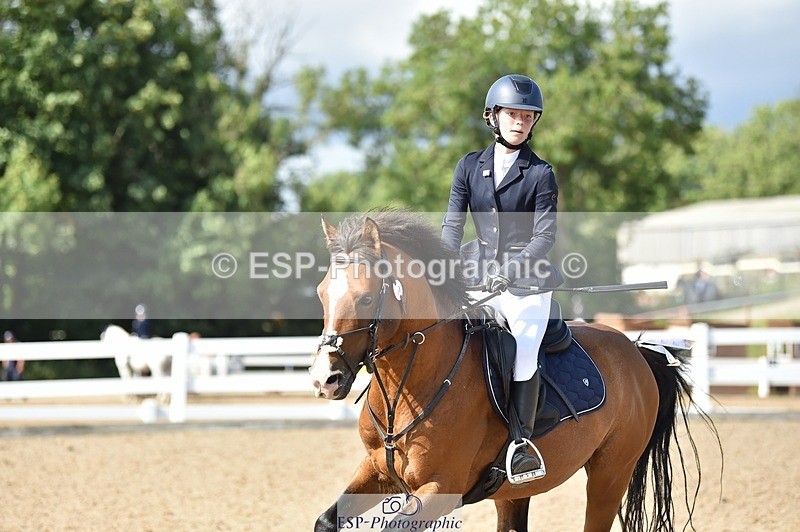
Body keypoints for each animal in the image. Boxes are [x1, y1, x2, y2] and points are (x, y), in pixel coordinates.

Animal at [309, 210, 716, 532]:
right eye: (321, 294)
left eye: (365, 298)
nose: (324, 379)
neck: (408, 388)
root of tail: (635, 350)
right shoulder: (377, 471)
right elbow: (326, 521)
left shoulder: (441, 488)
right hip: (515, 490)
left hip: (610, 475)